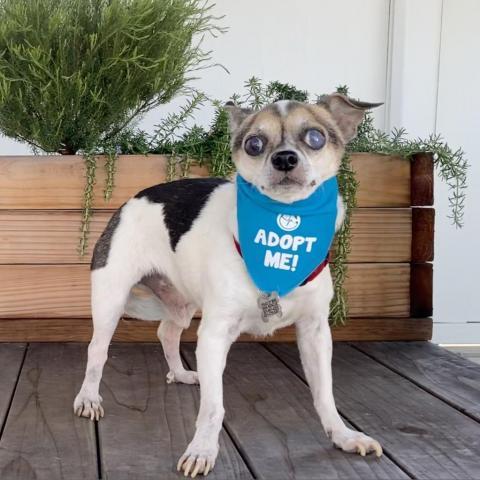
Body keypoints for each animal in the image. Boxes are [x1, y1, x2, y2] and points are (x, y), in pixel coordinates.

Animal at [74, 94, 382, 476]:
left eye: (315, 137)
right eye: (254, 144)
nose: (284, 158)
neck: (281, 232)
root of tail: (129, 202)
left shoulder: (315, 333)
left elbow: (324, 394)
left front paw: (343, 435)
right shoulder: (214, 335)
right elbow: (212, 407)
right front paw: (202, 450)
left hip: (183, 302)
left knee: (166, 332)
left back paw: (180, 373)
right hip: (111, 301)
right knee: (97, 351)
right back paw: (88, 397)